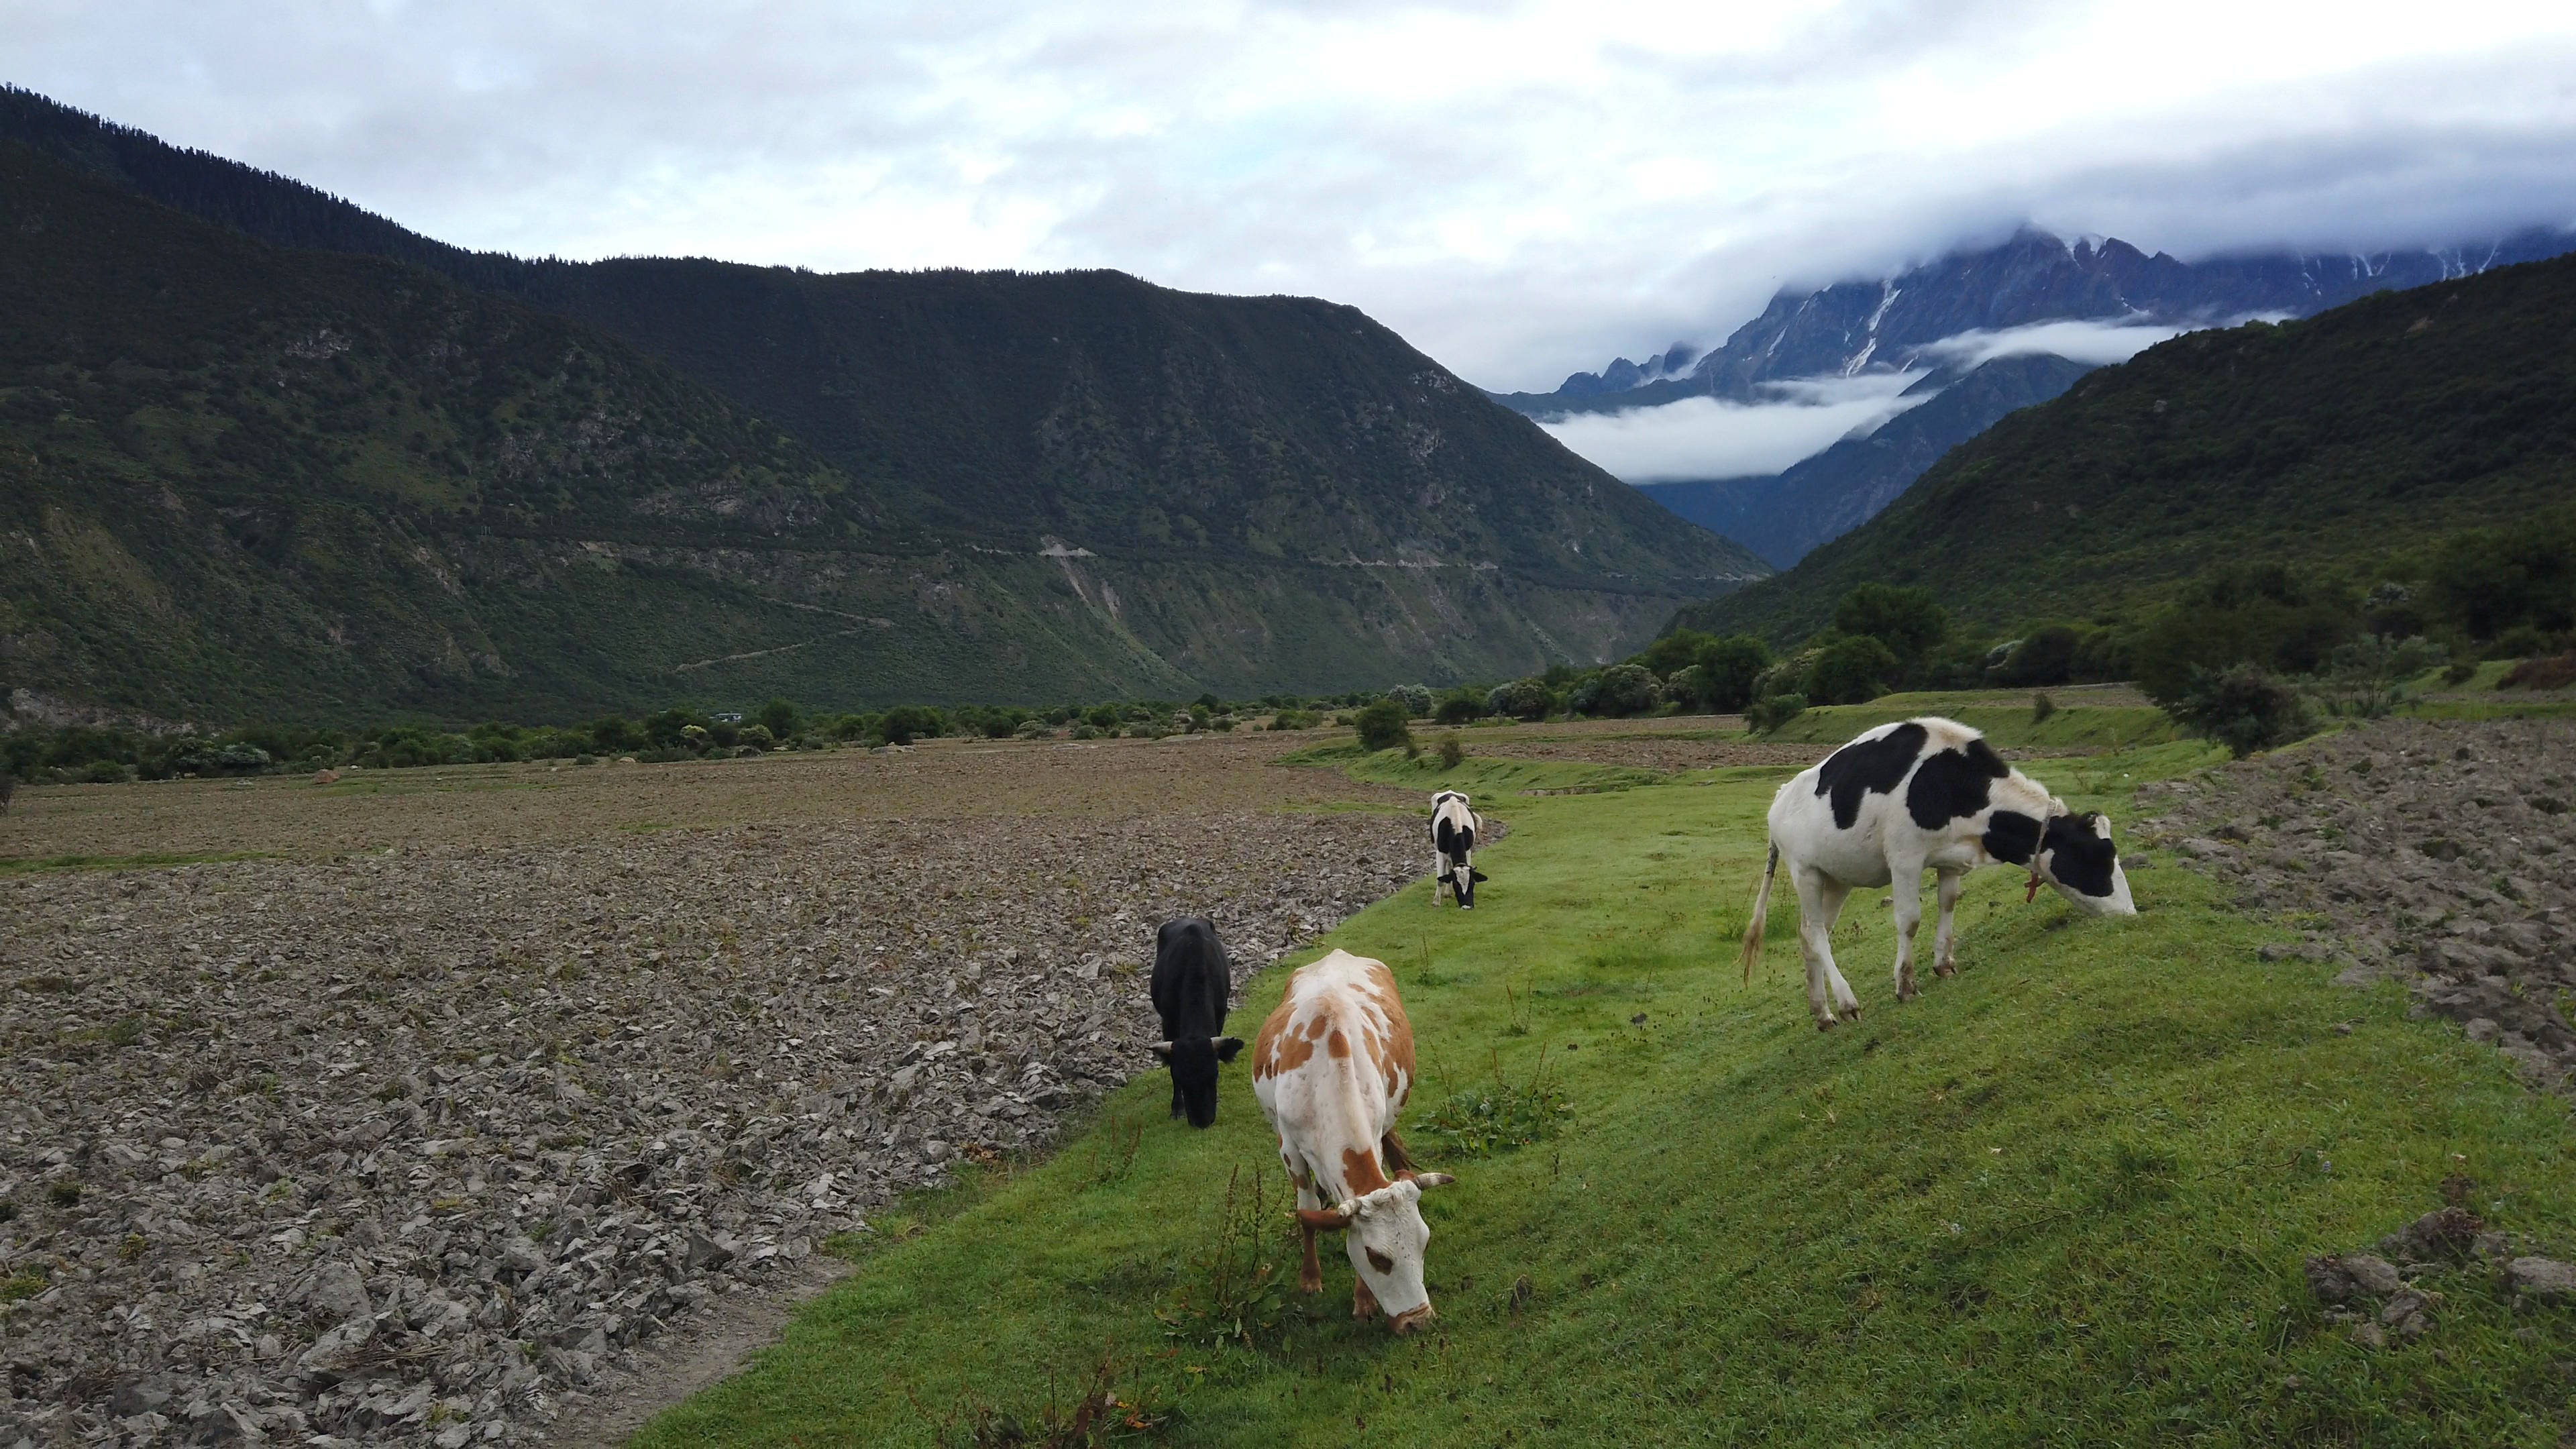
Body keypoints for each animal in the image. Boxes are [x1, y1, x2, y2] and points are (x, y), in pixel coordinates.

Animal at [1143, 912, 1241, 1129]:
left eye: (1214, 1075)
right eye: (1183, 1078)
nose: (1202, 1122)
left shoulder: (1220, 1015)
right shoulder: (1168, 1022)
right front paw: (1177, 1108)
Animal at [1246, 949, 1452, 1330]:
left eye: (1425, 1243)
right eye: (1377, 1257)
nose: (1418, 1321)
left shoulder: (1373, 1134)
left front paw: (1364, 1299)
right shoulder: (1289, 1148)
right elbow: (1307, 1211)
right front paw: (1310, 1279)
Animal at [1432, 789, 1494, 902]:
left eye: (1472, 884)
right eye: (1457, 886)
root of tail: (1450, 792)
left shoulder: (1468, 851)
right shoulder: (1440, 852)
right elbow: (1440, 879)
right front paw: (1436, 901)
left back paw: (1447, 892)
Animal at [1741, 711, 2143, 1026]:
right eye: (2098, 857)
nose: (2130, 914)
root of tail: (1780, 796)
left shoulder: (1952, 859)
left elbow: (1948, 904)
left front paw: (1944, 964)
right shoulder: (1904, 857)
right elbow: (1910, 919)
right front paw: (1905, 985)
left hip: (1836, 878)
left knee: (1808, 933)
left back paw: (1822, 1014)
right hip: (1804, 871)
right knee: (1818, 933)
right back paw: (1846, 1003)